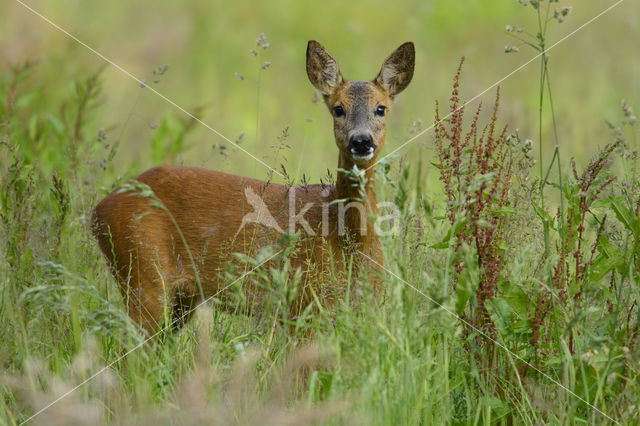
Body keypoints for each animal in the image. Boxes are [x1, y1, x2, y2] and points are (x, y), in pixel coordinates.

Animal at [94, 40, 416, 334]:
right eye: (338, 109)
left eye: (381, 108)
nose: (361, 141)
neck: (348, 241)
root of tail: (98, 209)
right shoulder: (301, 304)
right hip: (143, 273)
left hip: (176, 300)